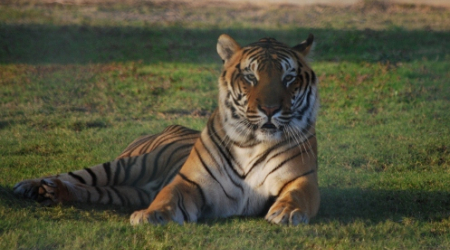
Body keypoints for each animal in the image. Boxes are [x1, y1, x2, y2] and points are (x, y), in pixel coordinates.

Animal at [13, 33, 320, 227]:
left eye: (288, 78)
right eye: (250, 77)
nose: (270, 109)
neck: (252, 142)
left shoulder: (302, 179)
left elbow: (297, 195)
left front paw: (287, 212)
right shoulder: (189, 182)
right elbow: (167, 197)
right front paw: (150, 216)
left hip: (122, 192)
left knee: (89, 191)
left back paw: (52, 193)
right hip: (128, 165)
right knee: (78, 176)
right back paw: (29, 186)